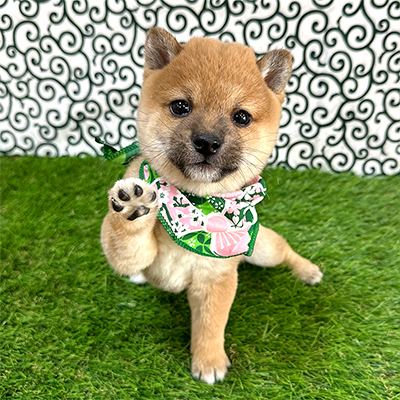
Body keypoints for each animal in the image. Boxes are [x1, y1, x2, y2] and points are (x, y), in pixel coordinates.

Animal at [101, 27, 323, 384]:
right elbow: (125, 241)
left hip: (262, 250)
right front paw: (134, 205)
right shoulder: (137, 253)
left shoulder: (217, 278)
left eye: (241, 117)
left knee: (285, 250)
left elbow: (211, 324)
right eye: (180, 107)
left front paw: (209, 360)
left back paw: (307, 269)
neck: (196, 204)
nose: (207, 142)